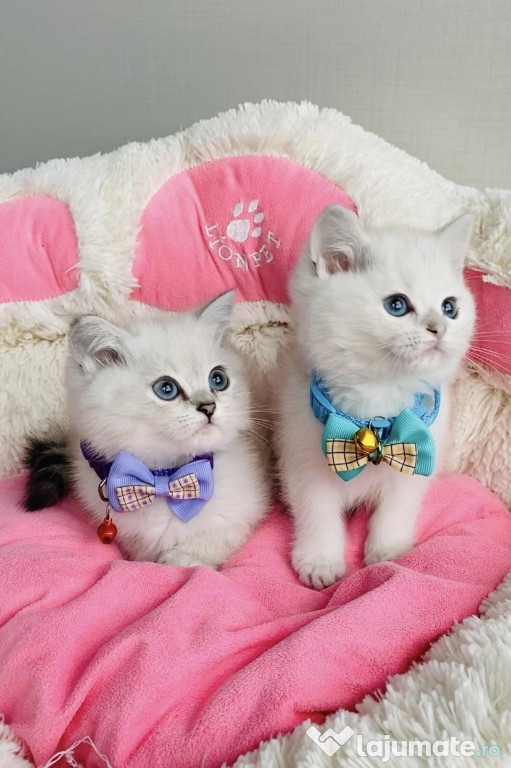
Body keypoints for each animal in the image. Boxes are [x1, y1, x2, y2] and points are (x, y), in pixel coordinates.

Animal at [24, 292, 269, 568]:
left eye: (218, 380)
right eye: (166, 389)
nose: (209, 406)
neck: (165, 477)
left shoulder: (243, 512)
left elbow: (212, 540)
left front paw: (183, 559)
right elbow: (143, 552)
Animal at [276, 205, 476, 589]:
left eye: (450, 308)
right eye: (397, 305)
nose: (439, 328)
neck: (379, 399)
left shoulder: (419, 452)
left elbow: (398, 506)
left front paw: (389, 550)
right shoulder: (303, 455)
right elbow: (316, 511)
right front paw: (320, 560)